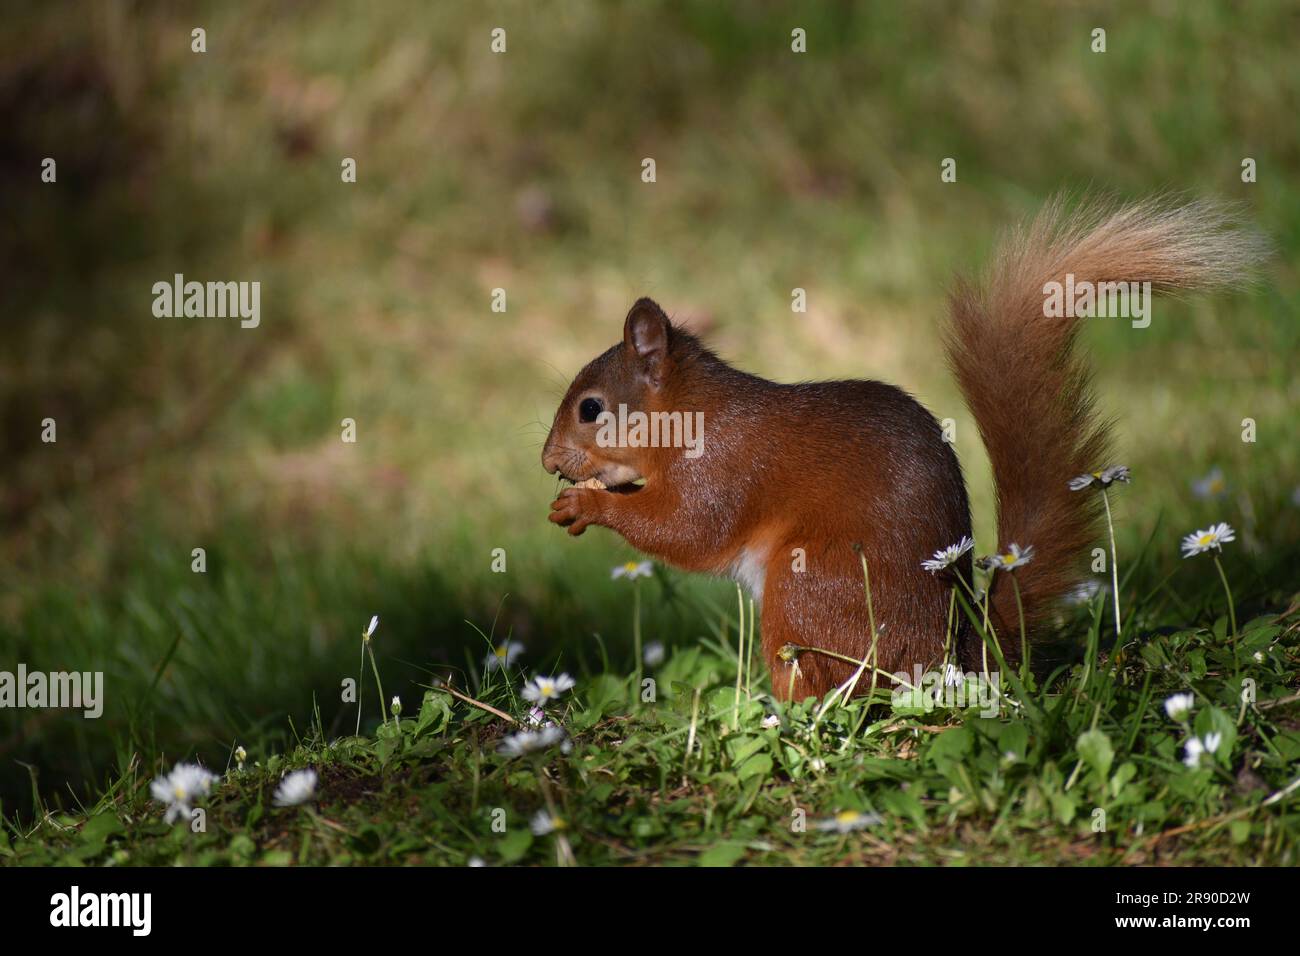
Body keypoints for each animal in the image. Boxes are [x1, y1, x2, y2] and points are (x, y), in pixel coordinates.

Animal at [542, 196, 1264, 700]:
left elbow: (686, 530)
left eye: (590, 409)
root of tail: (956, 654)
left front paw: (588, 505)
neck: (693, 417)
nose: (548, 462)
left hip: (809, 588)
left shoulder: (722, 471)